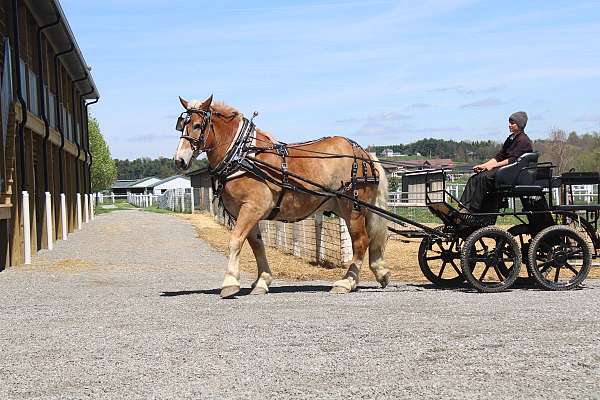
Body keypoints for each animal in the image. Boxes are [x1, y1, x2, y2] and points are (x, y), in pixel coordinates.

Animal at [175, 95, 390, 298]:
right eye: (181, 125)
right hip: (347, 206)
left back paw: (346, 282)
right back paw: (379, 273)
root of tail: (364, 154)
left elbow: (235, 241)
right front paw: (262, 281)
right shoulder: (247, 213)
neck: (242, 156)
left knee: (361, 241)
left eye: (197, 125)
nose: (179, 160)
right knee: (370, 238)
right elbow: (257, 245)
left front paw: (230, 283)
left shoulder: (252, 208)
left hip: (352, 207)